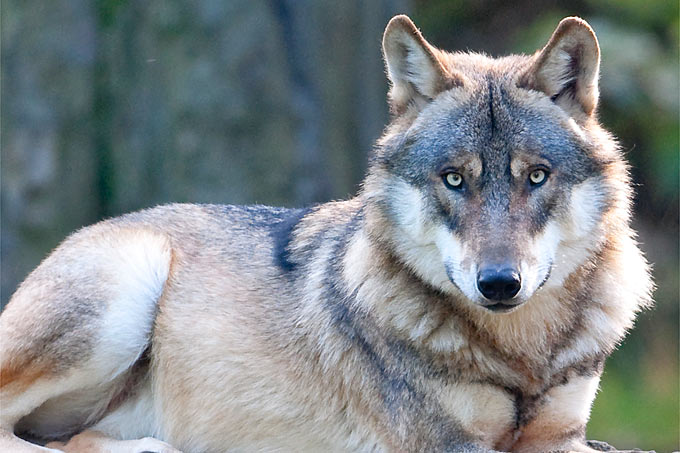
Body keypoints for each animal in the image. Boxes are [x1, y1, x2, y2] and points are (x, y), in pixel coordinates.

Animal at [2, 14, 656, 452]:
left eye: (536, 176)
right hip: (126, 290)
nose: (499, 284)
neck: (521, 352)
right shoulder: (444, 443)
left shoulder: (564, 434)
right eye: (454, 179)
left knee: (71, 440)